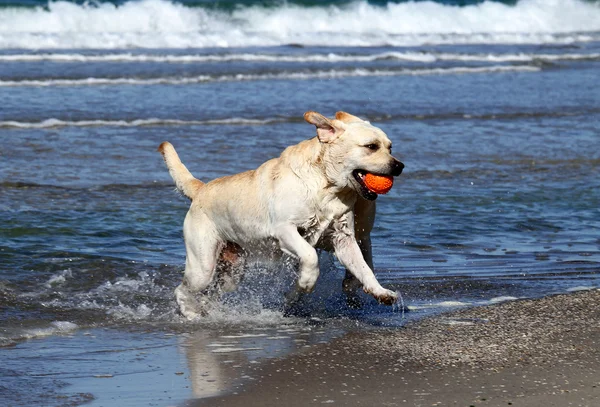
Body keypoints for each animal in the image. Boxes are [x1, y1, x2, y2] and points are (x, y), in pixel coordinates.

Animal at [159, 111, 404, 318]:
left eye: (390, 148)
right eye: (371, 146)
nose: (399, 166)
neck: (326, 186)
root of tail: (200, 189)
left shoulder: (344, 239)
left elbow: (364, 269)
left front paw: (381, 292)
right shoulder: (285, 229)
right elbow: (310, 255)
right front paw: (306, 282)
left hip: (232, 271)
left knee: (212, 293)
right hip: (202, 265)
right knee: (182, 290)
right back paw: (191, 314)